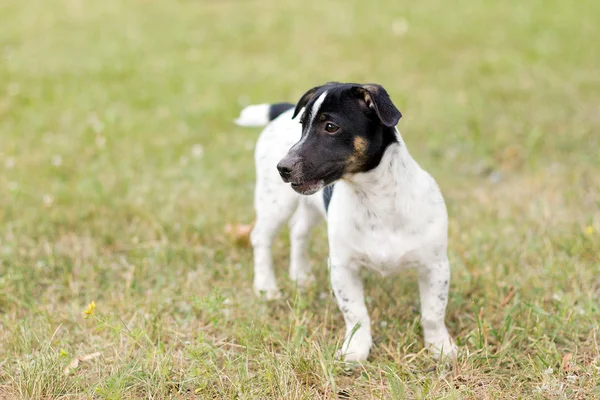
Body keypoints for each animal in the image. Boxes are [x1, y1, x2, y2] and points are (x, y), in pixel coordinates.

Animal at [234, 82, 454, 362]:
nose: (282, 168)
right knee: (261, 238)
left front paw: (440, 347)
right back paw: (266, 288)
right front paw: (356, 349)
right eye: (302, 125)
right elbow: (356, 314)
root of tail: (281, 111)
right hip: (274, 203)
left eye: (331, 127)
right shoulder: (342, 268)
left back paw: (300, 276)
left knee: (298, 231)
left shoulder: (435, 266)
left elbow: (433, 313)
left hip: (310, 206)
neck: (375, 200)